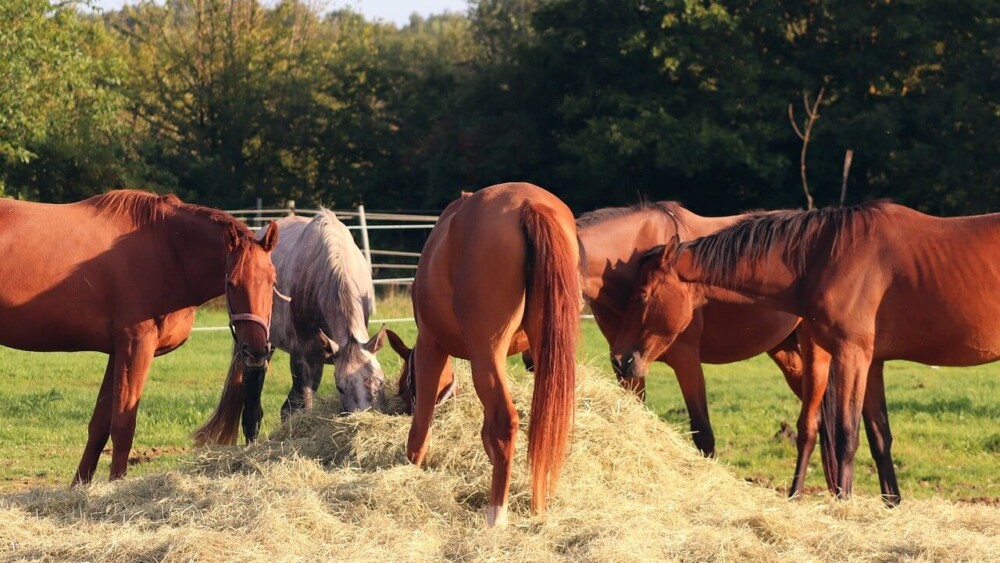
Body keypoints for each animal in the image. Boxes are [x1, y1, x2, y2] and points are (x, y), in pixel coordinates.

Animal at [0, 191, 278, 484]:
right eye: (232, 283)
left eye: (272, 281)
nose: (256, 350)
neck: (165, 246)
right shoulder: (136, 347)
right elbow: (123, 426)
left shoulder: (117, 352)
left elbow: (100, 426)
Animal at [195, 209, 386, 448]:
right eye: (340, 388)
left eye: (380, 382)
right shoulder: (301, 358)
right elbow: (304, 406)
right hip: (259, 351)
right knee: (253, 411)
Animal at [386, 182, 584, 528]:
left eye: (402, 387)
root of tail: (529, 205)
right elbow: (485, 431)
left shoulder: (431, 348)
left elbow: (421, 429)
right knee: (542, 426)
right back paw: (538, 507)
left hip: (483, 351)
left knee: (506, 421)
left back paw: (497, 515)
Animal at [612, 202, 1000, 506]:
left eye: (641, 296)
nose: (620, 358)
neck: (827, 256)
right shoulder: (869, 362)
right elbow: (877, 437)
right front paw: (890, 505)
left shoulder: (851, 355)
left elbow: (846, 435)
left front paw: (844, 505)